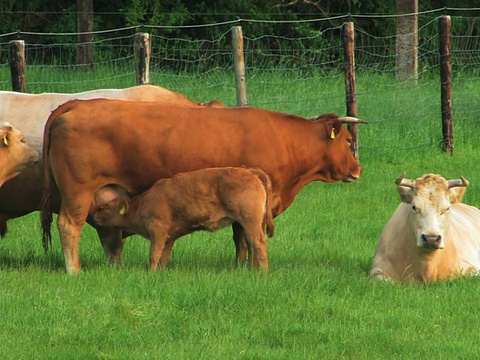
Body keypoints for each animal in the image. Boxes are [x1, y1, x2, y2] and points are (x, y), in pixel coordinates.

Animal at [91, 167, 276, 272]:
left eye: (104, 207)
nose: (94, 215)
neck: (143, 203)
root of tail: (252, 172)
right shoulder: (170, 237)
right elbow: (163, 256)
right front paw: (160, 273)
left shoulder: (157, 231)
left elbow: (154, 254)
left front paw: (150, 273)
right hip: (253, 223)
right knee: (252, 244)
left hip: (250, 222)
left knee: (259, 243)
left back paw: (263, 273)